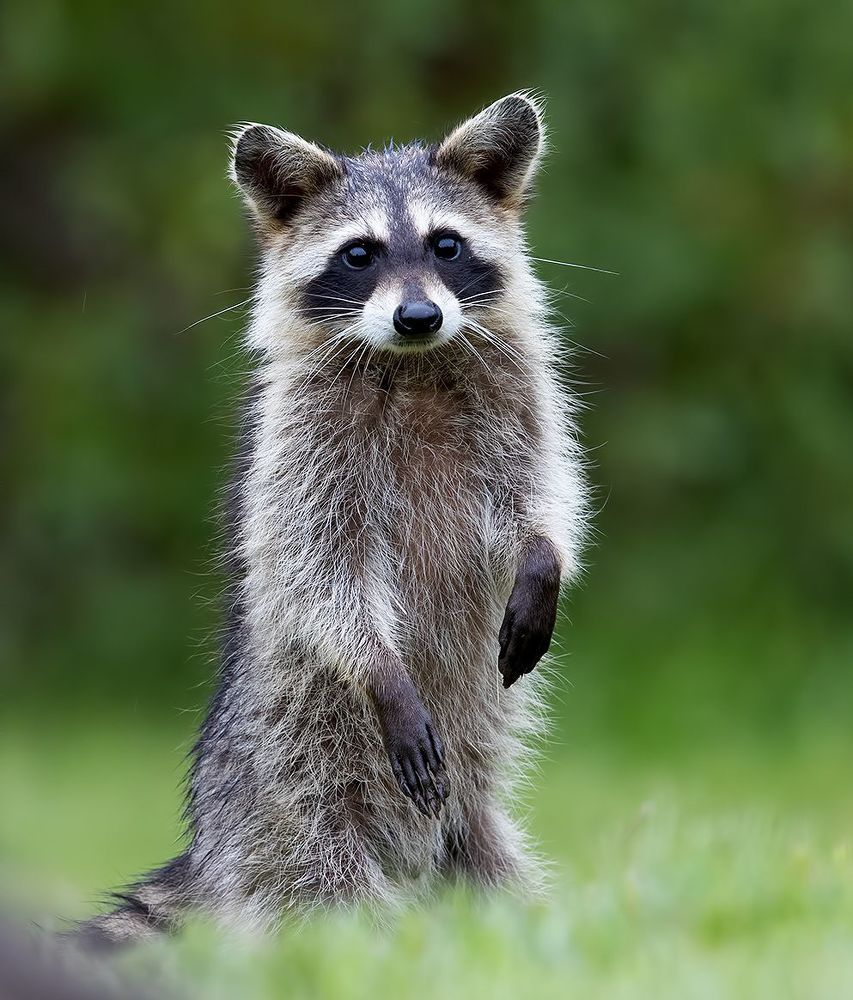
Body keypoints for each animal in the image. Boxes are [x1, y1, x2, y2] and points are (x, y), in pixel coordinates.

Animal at [76, 92, 588, 946]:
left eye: (445, 245)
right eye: (359, 255)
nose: (417, 316)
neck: (413, 365)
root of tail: (208, 857)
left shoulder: (519, 392)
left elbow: (543, 492)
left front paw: (544, 558)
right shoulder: (299, 445)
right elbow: (318, 568)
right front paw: (379, 668)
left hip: (465, 822)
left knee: (495, 872)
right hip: (294, 789)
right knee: (324, 890)